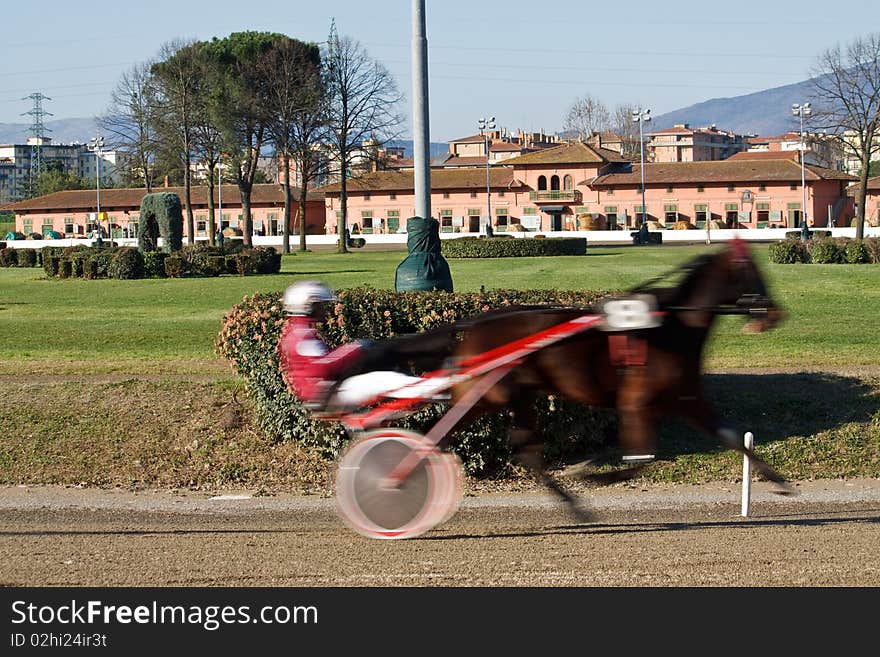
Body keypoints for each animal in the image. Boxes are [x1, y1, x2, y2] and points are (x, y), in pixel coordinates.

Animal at [446, 241, 792, 516]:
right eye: (752, 272)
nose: (775, 313)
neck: (673, 327)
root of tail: (475, 328)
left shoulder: (686, 398)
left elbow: (730, 438)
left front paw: (781, 482)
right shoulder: (636, 401)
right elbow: (641, 460)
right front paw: (591, 473)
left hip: (516, 396)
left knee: (524, 449)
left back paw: (573, 506)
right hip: (488, 394)